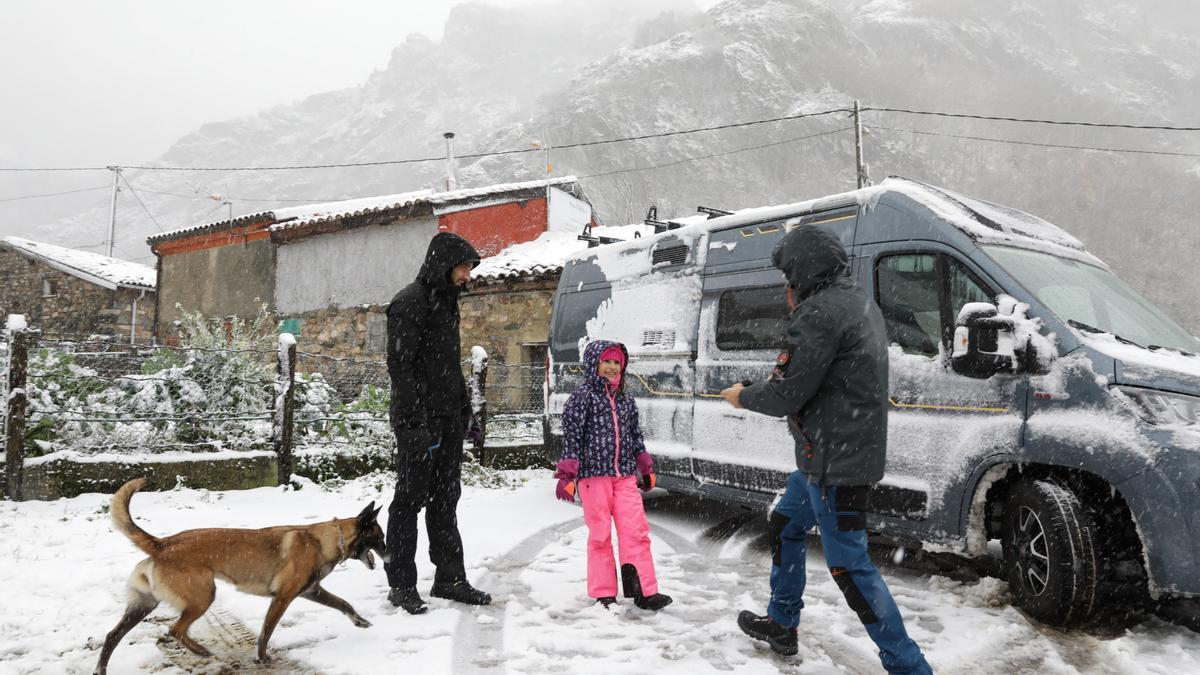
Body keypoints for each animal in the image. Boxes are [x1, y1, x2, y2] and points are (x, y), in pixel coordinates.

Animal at [93, 475, 386, 667]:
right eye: (380, 537)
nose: (390, 553)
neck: (324, 540)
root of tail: (163, 543)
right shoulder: (282, 599)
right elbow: (266, 632)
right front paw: (262, 658)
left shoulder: (312, 591)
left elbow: (344, 603)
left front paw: (360, 621)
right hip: (202, 597)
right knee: (175, 630)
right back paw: (201, 651)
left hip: (144, 604)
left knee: (112, 636)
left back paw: (101, 668)